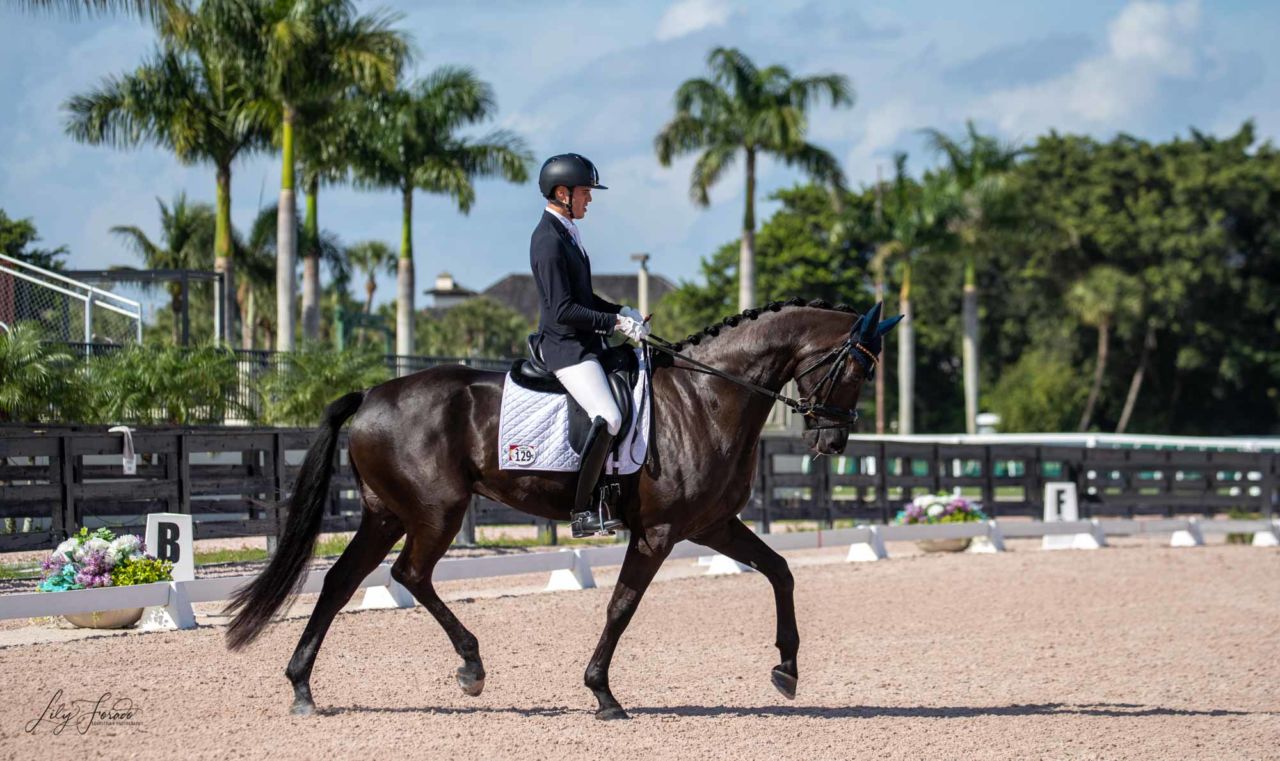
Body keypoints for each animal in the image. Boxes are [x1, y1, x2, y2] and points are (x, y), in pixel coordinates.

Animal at [222, 296, 901, 721]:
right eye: (855, 369)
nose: (833, 441)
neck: (707, 396)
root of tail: (370, 395)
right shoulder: (658, 533)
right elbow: (622, 605)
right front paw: (603, 695)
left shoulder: (711, 525)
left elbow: (780, 571)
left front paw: (786, 670)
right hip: (435, 513)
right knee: (408, 574)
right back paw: (471, 667)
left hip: (386, 513)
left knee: (340, 581)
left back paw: (303, 687)